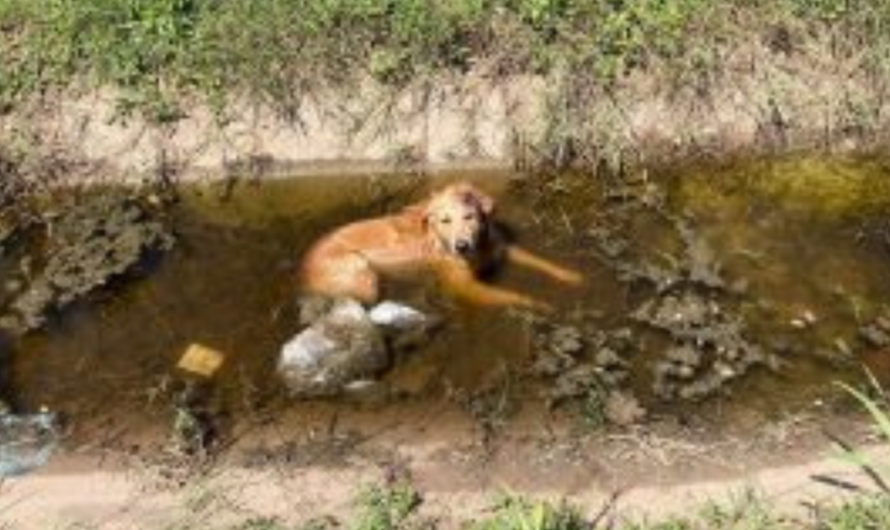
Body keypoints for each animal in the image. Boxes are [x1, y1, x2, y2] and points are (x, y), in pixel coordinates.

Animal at [300, 180, 584, 308]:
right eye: (444, 221)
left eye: (469, 216)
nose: (462, 246)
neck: (479, 251)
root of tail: (302, 264)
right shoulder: (467, 287)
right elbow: (510, 296)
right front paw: (537, 303)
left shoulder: (502, 248)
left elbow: (544, 263)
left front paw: (572, 277)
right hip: (361, 274)